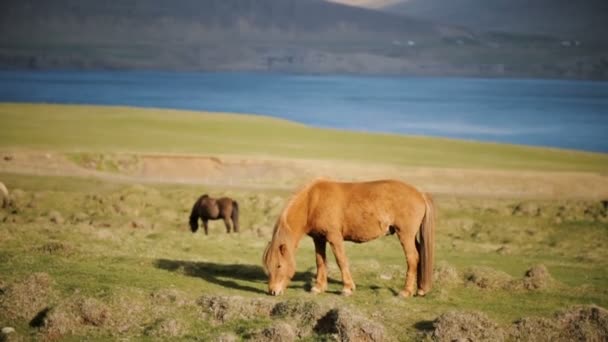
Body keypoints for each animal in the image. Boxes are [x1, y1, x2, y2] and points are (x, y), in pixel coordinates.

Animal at [264, 178, 434, 298]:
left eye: (279, 265)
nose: (273, 291)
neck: (312, 202)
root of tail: (420, 194)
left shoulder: (334, 237)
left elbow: (341, 260)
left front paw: (347, 289)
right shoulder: (319, 239)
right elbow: (320, 262)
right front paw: (318, 287)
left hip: (405, 234)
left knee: (413, 258)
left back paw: (406, 291)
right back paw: (420, 289)